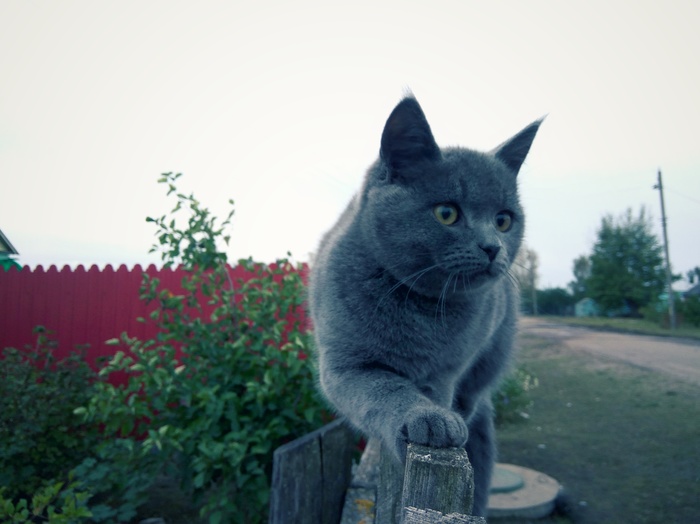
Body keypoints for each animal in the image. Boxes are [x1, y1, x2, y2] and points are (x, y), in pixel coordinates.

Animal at [308, 95, 544, 516]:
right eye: (446, 213)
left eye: (504, 220)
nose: (492, 247)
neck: (422, 307)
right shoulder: (344, 365)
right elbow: (384, 387)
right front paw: (428, 419)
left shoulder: (447, 369)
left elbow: (438, 390)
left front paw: (441, 418)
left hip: (494, 348)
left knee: (474, 397)